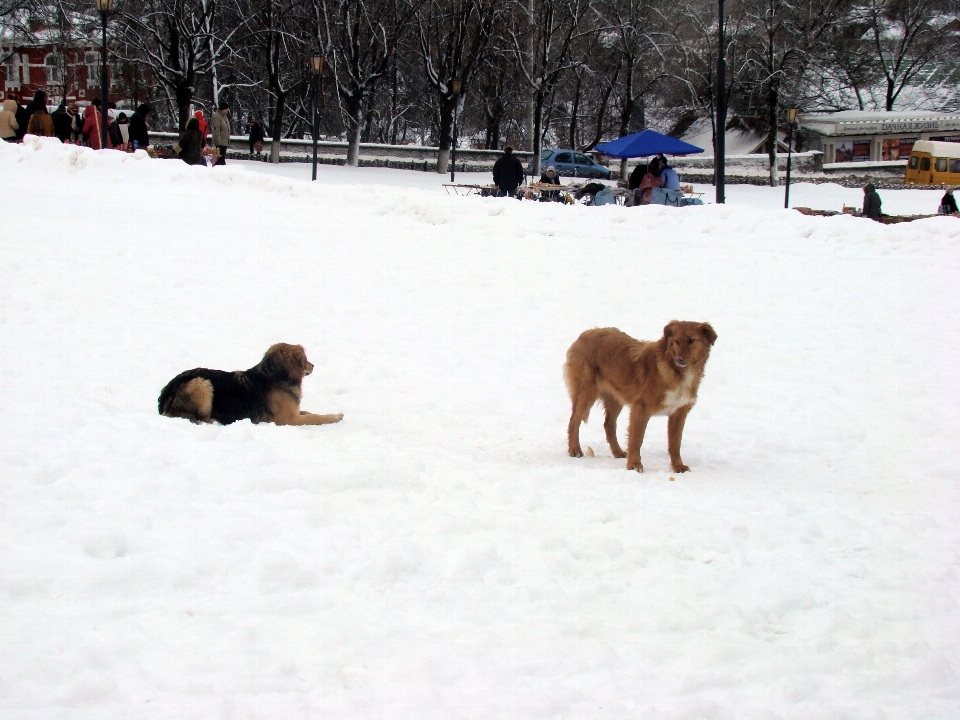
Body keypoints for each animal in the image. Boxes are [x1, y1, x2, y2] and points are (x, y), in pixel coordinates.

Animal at [568, 322, 716, 472]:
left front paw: (678, 466)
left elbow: (675, 443)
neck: (677, 372)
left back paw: (617, 452)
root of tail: (586, 333)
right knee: (574, 421)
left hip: (615, 398)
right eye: (676, 341)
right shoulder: (641, 408)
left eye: (691, 340)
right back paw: (575, 450)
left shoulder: (678, 413)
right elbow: (636, 439)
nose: (679, 359)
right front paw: (634, 465)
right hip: (586, 393)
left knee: (609, 424)